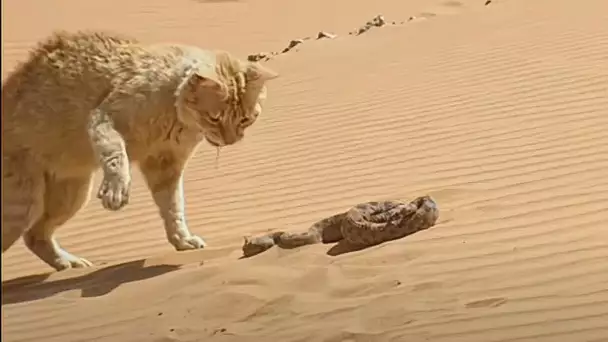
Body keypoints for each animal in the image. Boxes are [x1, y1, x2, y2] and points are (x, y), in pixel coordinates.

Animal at [1, 30, 278, 272]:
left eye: (245, 120)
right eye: (214, 118)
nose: (231, 140)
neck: (175, 111)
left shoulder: (165, 165)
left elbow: (173, 206)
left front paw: (182, 240)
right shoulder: (104, 118)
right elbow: (115, 152)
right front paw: (116, 189)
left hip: (70, 194)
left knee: (35, 235)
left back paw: (68, 263)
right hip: (22, 205)